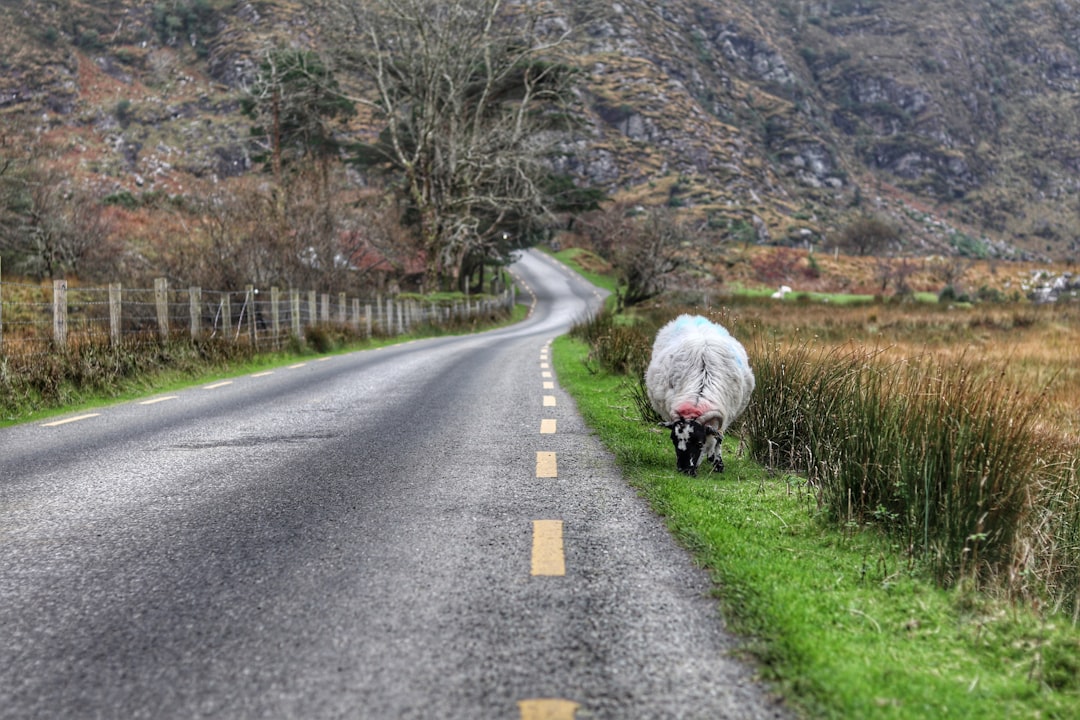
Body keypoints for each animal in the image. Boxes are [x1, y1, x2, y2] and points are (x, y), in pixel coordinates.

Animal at [643, 317, 756, 479]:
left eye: (699, 443)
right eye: (673, 440)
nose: (684, 470)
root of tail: (692, 317)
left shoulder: (724, 418)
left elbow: (718, 440)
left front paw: (718, 464)